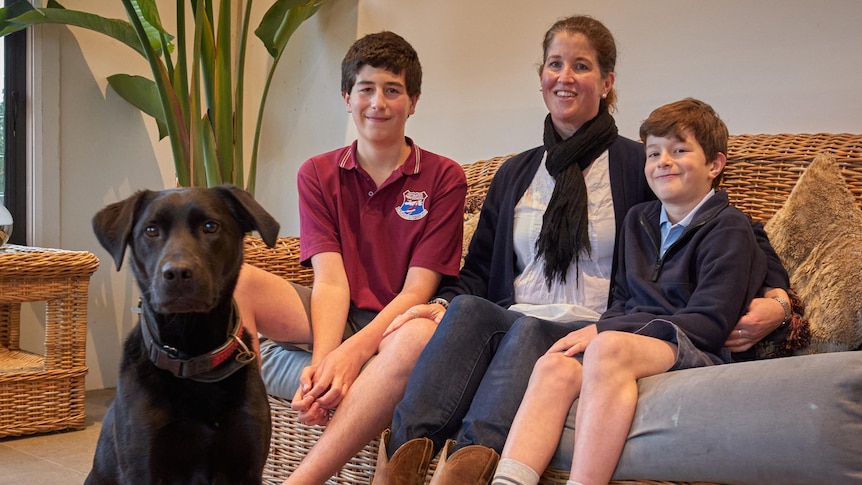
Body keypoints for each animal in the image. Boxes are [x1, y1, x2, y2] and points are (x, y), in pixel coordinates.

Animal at [87, 184, 280, 484]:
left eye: (210, 226)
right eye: (151, 230)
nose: (177, 273)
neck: (192, 359)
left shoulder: (248, 466)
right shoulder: (143, 466)